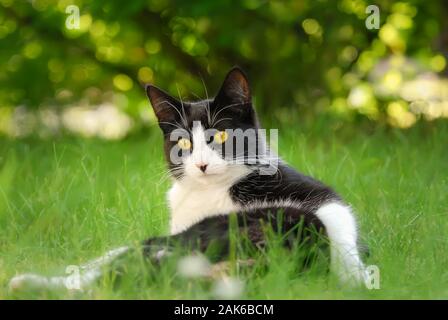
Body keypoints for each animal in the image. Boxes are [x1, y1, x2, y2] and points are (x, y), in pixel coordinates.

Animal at [9, 66, 368, 292]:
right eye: (182, 142)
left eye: (220, 135)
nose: (201, 164)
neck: (212, 190)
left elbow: (115, 254)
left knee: (118, 269)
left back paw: (28, 283)